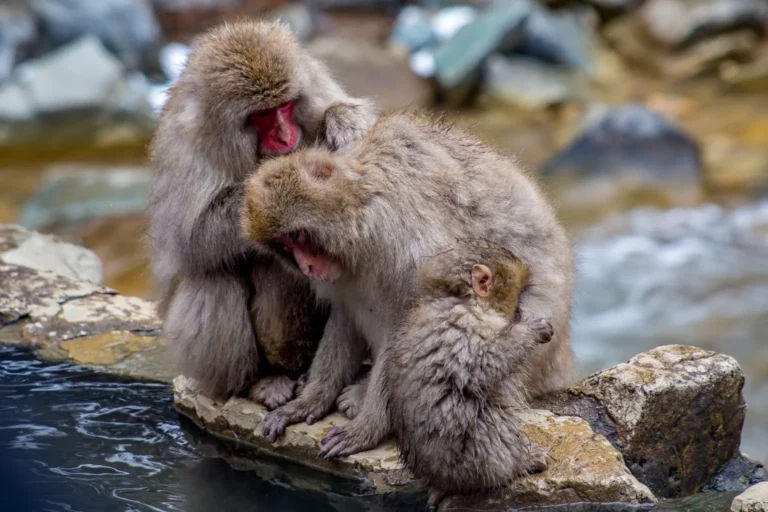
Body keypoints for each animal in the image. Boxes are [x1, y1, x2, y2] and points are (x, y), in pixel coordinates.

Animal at [148, 18, 376, 406]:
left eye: (285, 106)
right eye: (262, 116)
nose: (285, 137)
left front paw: (343, 121)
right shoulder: (185, 147)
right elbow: (194, 237)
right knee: (215, 279)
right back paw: (256, 382)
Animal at [242, 112, 576, 452]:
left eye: (297, 236)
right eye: (285, 246)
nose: (307, 266)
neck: (361, 204)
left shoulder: (404, 238)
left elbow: (411, 325)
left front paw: (367, 428)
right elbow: (346, 317)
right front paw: (309, 401)